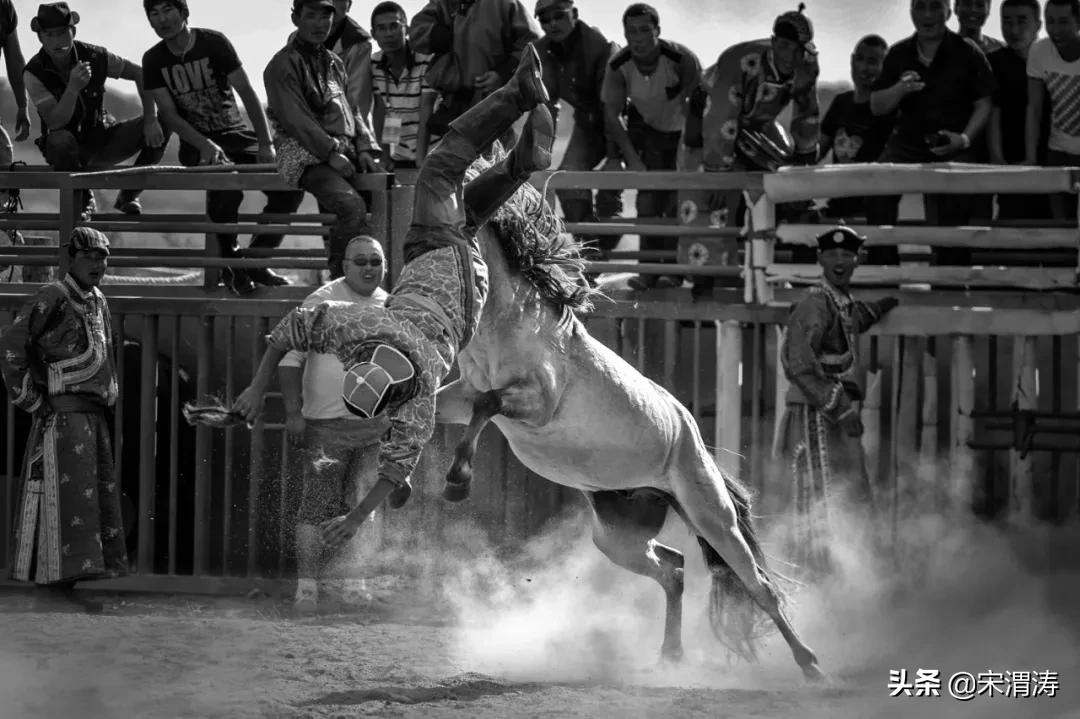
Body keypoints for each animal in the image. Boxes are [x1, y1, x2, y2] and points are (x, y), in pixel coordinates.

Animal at [433, 152, 824, 681]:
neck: (512, 322)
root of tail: (695, 443)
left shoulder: (536, 402)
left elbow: (487, 406)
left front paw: (457, 480)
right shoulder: (463, 392)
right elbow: (453, 406)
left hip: (712, 518)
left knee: (758, 586)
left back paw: (810, 664)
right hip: (617, 534)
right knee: (674, 568)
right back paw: (670, 654)